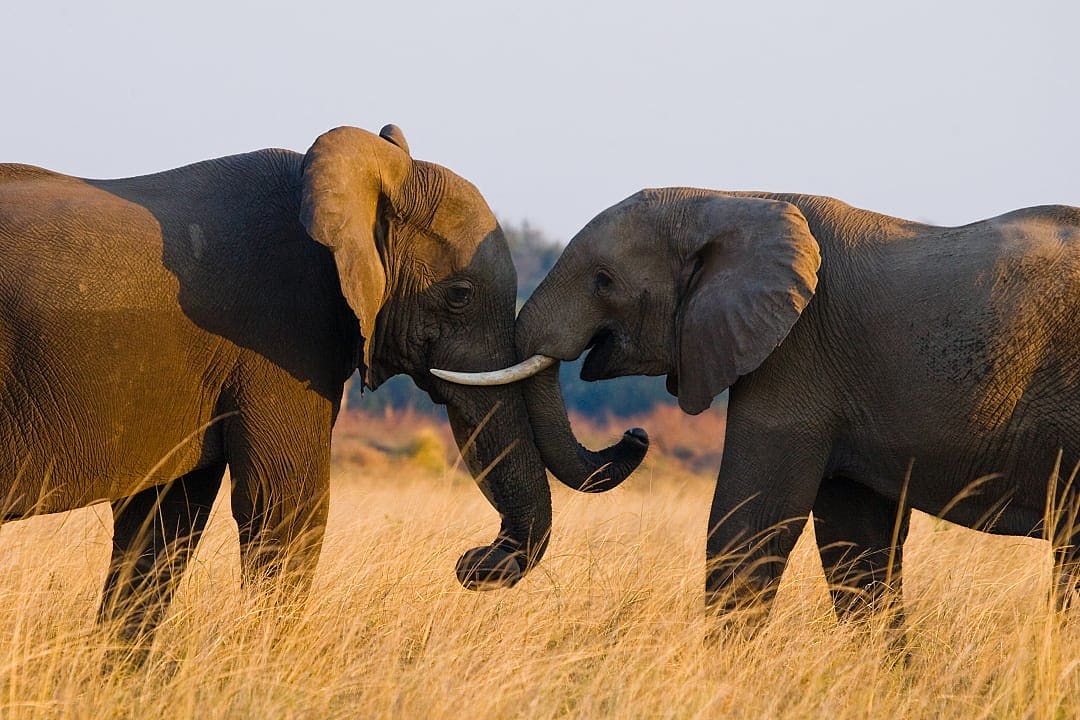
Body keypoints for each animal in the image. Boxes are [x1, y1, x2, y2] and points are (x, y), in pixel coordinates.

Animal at [444, 187, 1080, 625]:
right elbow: (856, 543)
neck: (730, 200)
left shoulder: (799, 356)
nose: (472, 562)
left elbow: (751, 523)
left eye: (604, 280)